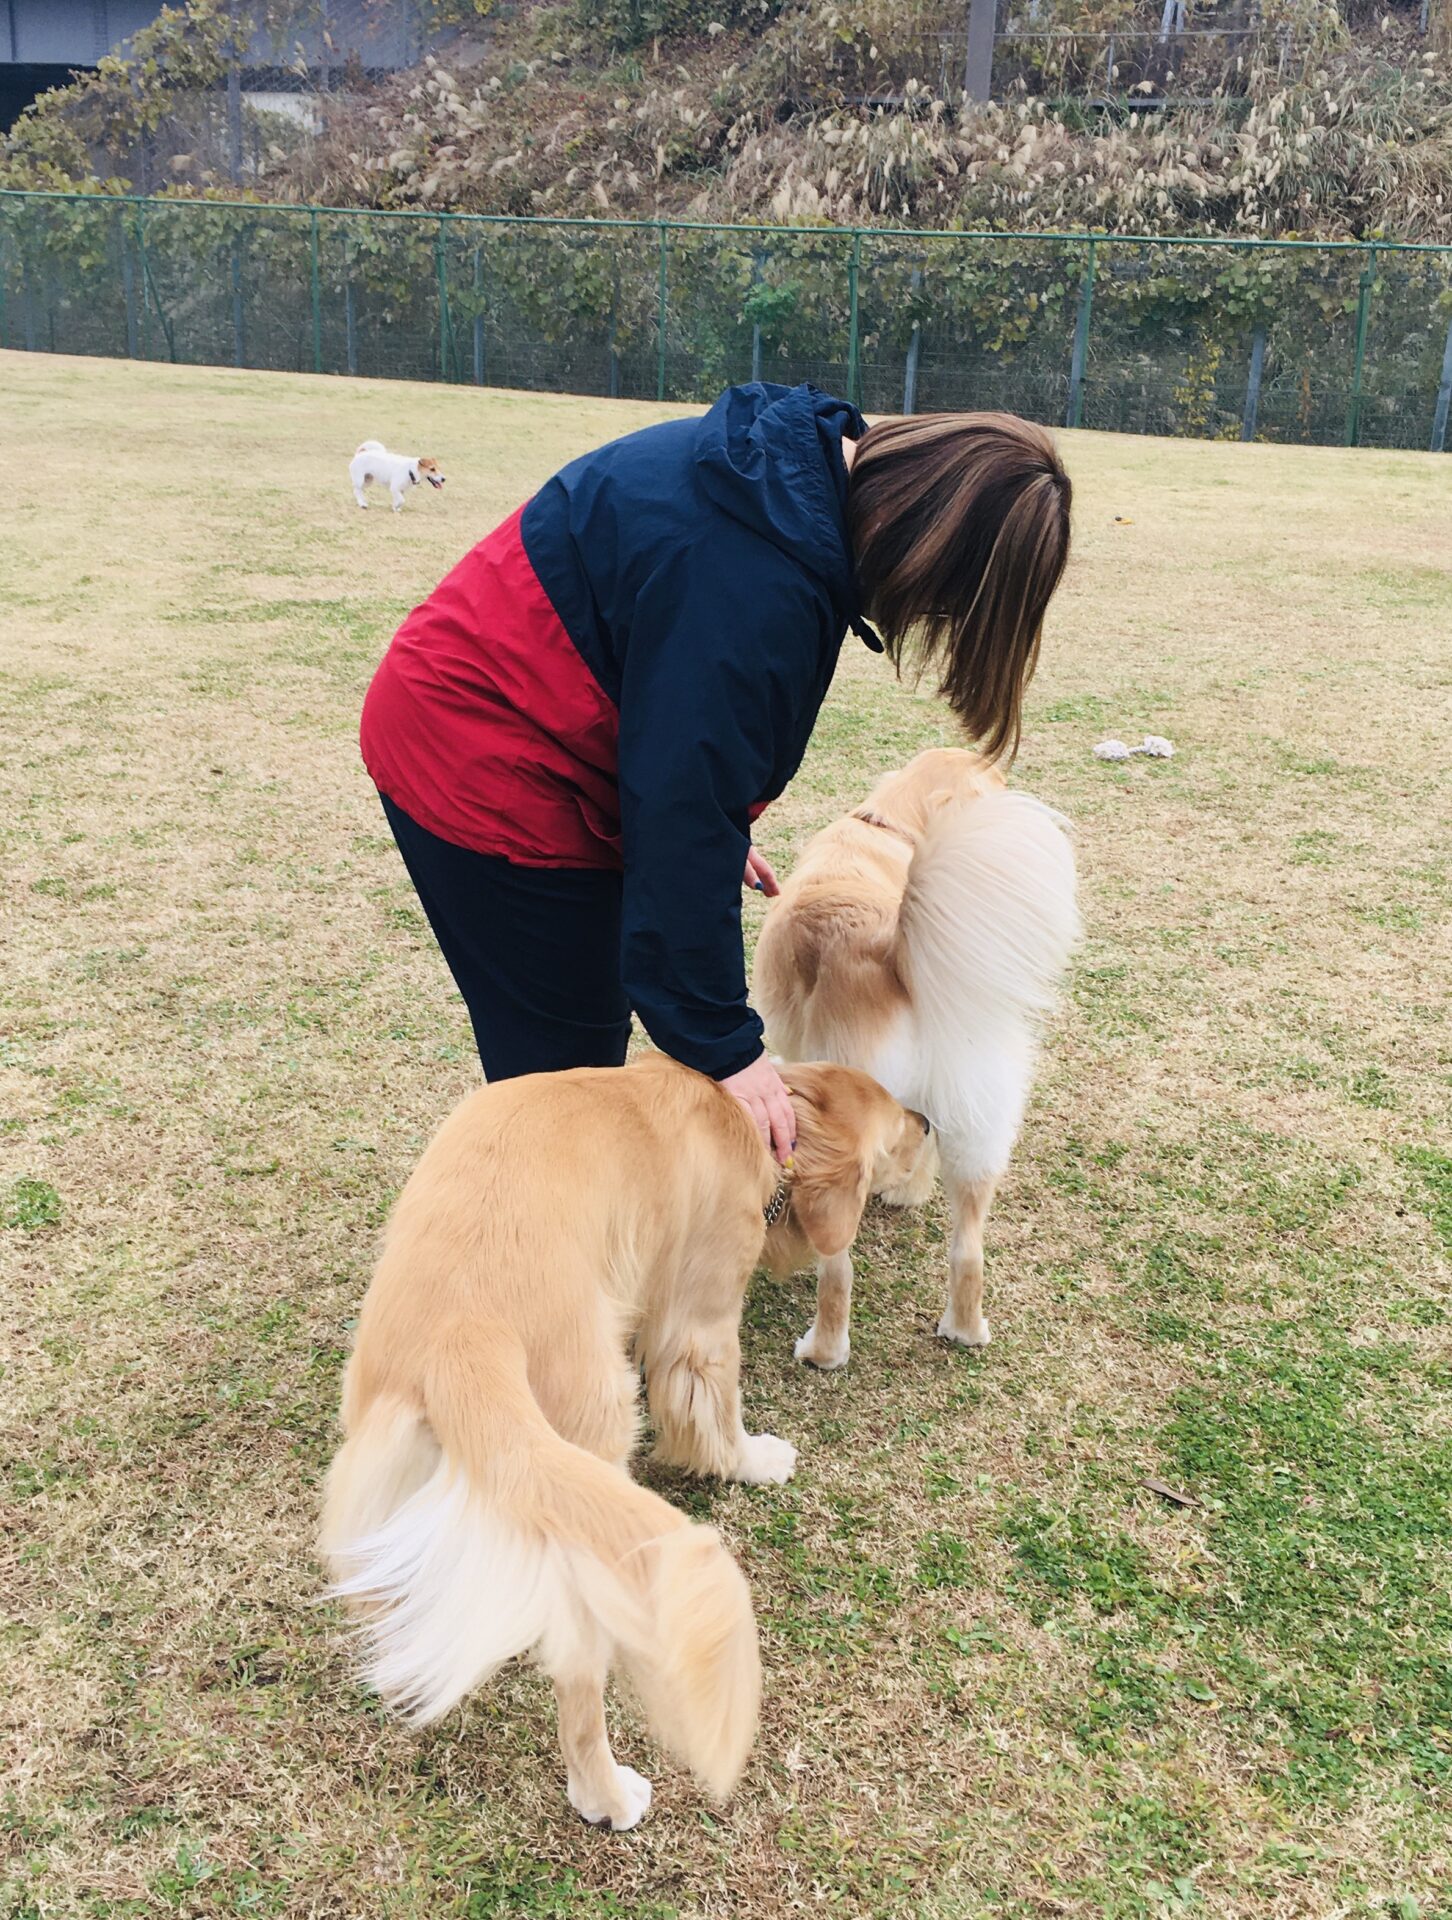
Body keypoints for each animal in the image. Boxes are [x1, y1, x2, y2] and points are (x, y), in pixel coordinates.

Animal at [320, 1052, 930, 1830]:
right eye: (898, 1123)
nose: (931, 1122)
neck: (758, 1117)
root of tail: (461, 1335)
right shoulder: (702, 1316)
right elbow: (716, 1407)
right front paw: (754, 1461)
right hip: (592, 1454)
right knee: (577, 1677)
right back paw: (606, 1795)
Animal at [752, 748, 1079, 1369]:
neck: (886, 823)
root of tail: (892, 952)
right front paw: (907, 1190)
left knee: (838, 1272)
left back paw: (824, 1350)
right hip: (980, 1108)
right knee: (968, 1249)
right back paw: (964, 1328)